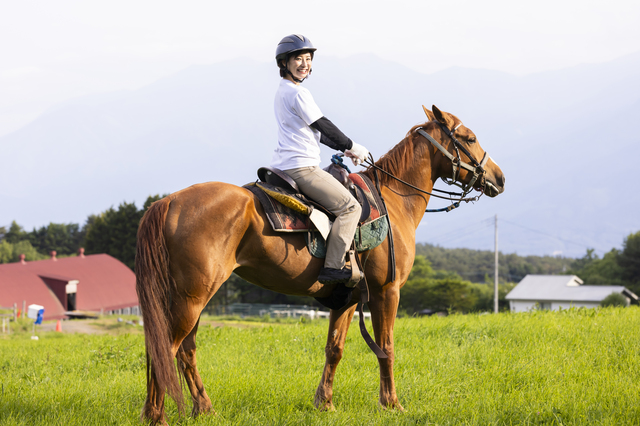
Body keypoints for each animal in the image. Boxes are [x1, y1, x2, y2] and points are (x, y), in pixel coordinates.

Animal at [135, 104, 504, 422]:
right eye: (470, 138)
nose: (499, 178)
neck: (393, 200)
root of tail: (169, 202)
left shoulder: (347, 298)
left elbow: (334, 349)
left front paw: (324, 403)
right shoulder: (386, 292)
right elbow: (386, 346)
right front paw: (391, 404)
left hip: (190, 298)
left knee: (184, 351)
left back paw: (204, 409)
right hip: (192, 297)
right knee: (166, 349)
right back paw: (157, 417)